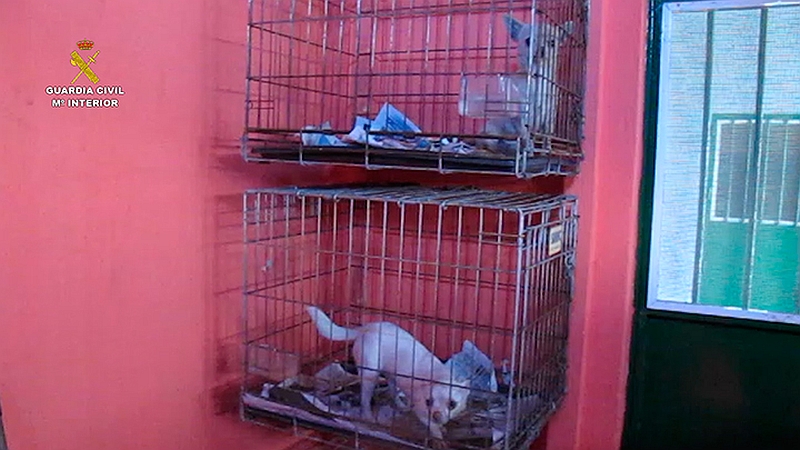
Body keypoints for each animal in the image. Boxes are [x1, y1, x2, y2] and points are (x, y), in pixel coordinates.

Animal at [306, 307, 471, 445]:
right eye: (428, 402)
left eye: (452, 404)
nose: (436, 415)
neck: (438, 375)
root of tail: (365, 329)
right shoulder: (422, 412)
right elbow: (433, 427)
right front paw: (439, 437)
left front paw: (442, 427)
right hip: (370, 375)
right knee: (365, 400)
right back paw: (369, 418)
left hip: (391, 377)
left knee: (392, 392)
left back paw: (401, 405)